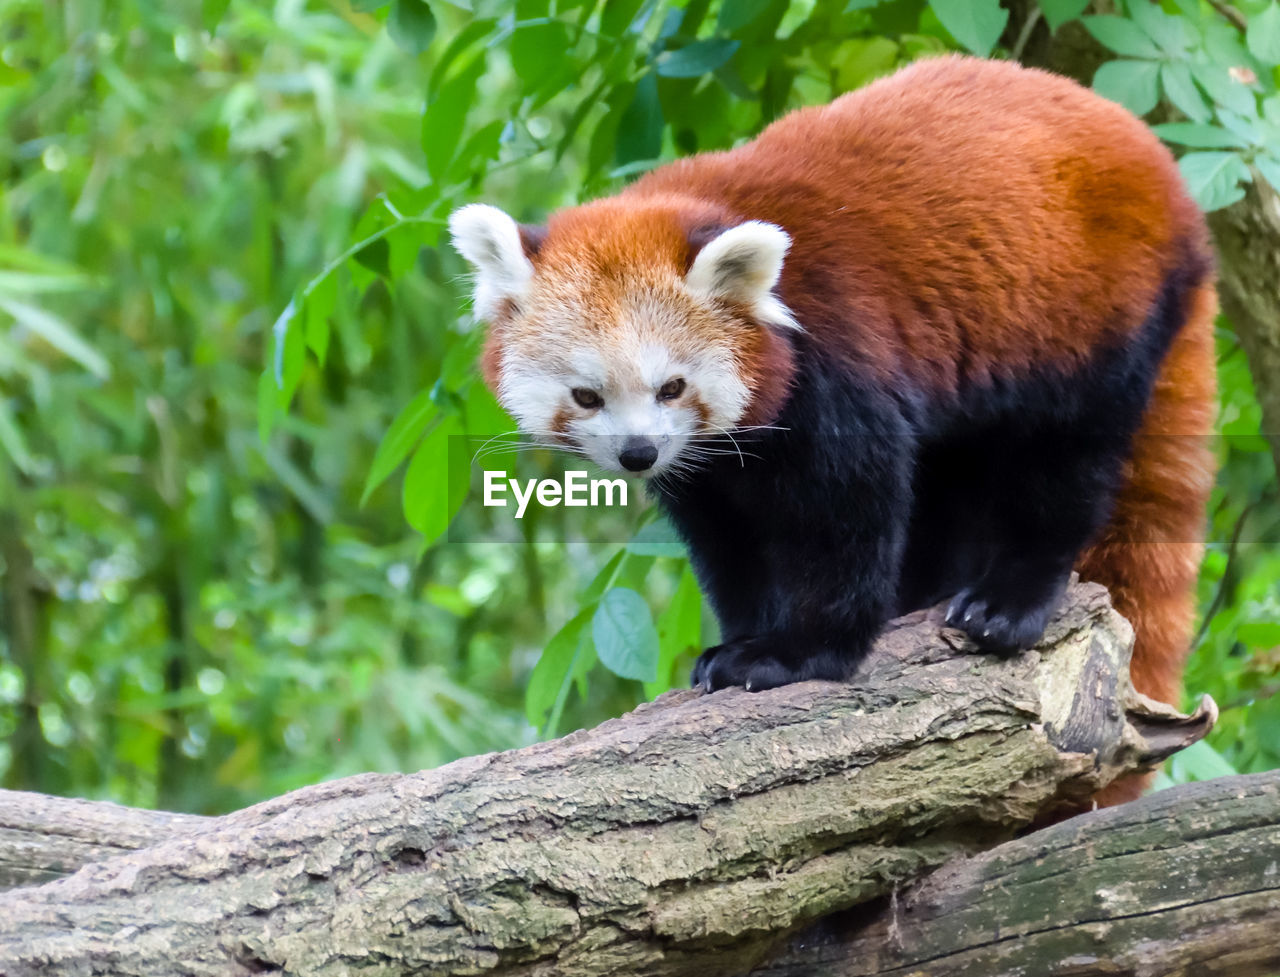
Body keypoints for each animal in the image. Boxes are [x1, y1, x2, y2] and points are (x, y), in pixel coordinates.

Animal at [453, 55, 1218, 804]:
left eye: (671, 386)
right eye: (586, 396)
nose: (639, 453)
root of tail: (1168, 182)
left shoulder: (838, 354)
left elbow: (844, 515)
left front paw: (796, 653)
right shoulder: (710, 461)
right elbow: (730, 540)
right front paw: (743, 638)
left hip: (1084, 315)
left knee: (1062, 460)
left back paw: (1009, 599)